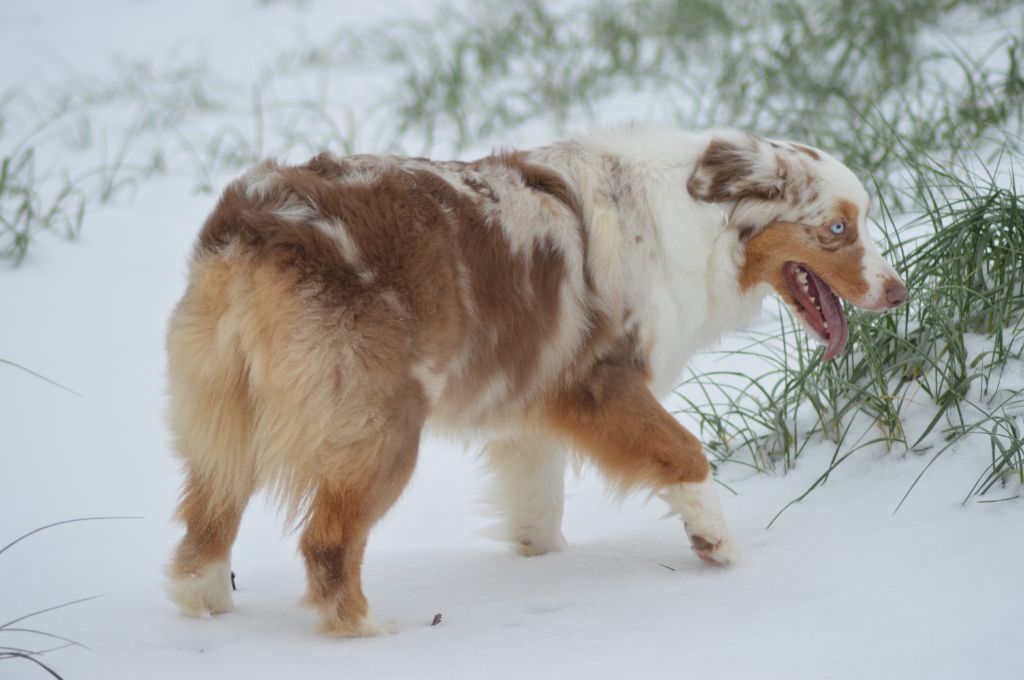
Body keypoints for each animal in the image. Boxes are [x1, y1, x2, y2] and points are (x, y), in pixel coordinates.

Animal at [163, 124, 909, 634]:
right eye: (837, 228)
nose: (900, 292)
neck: (700, 220)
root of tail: (254, 229)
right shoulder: (599, 380)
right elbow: (685, 452)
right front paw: (714, 541)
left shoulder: (538, 402)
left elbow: (540, 506)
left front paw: (545, 561)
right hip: (380, 427)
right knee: (325, 542)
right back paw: (366, 630)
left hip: (225, 415)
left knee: (207, 524)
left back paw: (205, 606)